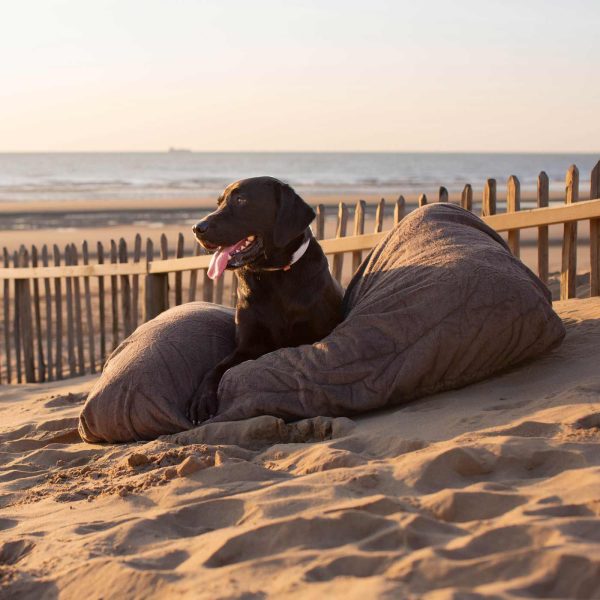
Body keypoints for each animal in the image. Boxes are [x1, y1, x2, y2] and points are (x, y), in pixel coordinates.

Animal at [190, 176, 344, 424]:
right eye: (219, 202)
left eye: (241, 200)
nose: (197, 228)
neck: (274, 275)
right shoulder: (248, 345)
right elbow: (217, 368)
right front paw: (201, 399)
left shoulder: (315, 335)